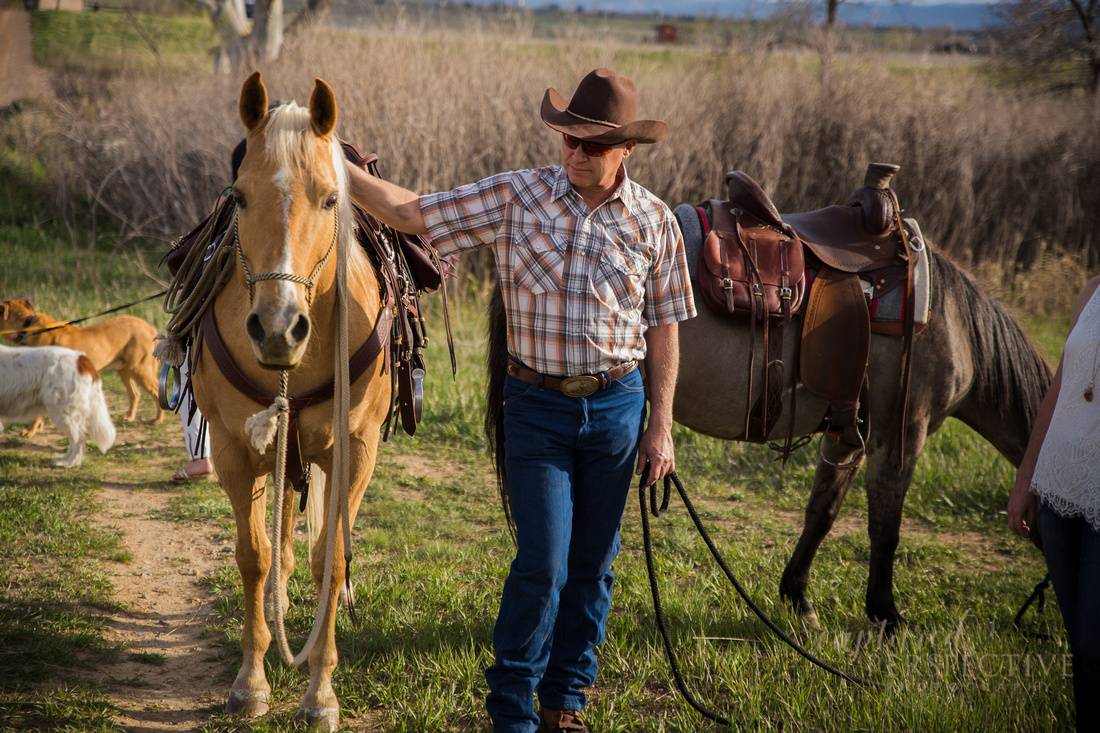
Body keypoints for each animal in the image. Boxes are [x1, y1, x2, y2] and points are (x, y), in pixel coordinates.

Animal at [0, 299, 162, 433]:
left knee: (156, 391)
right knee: (135, 394)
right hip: (124, 369)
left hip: (139, 370)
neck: (25, 327)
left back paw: (158, 420)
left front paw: (31, 431)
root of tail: (150, 327)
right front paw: (37, 429)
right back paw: (129, 417)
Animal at [191, 69, 389, 726]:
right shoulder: (233, 447)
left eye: (329, 199)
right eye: (241, 197)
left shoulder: (355, 449)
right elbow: (253, 554)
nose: (278, 329)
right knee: (276, 539)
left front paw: (320, 693)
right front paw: (250, 682)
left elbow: (333, 559)